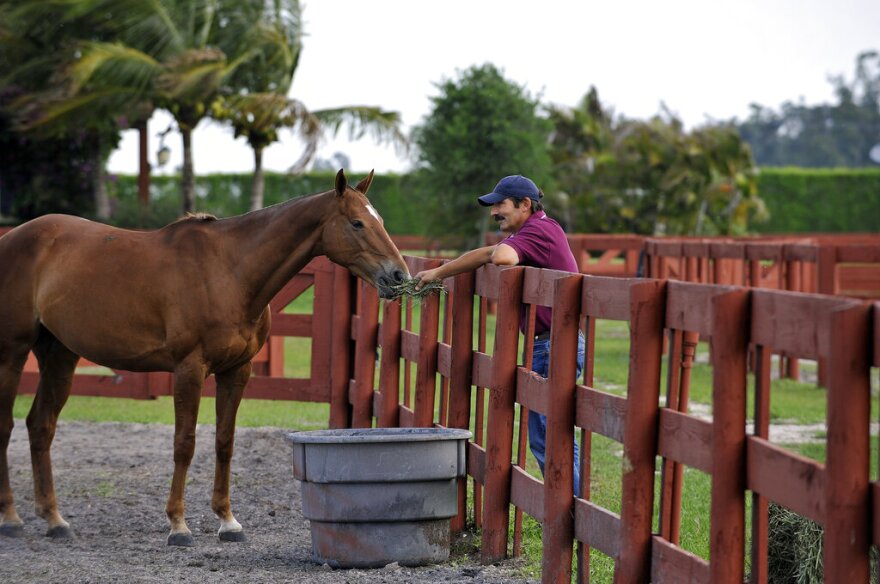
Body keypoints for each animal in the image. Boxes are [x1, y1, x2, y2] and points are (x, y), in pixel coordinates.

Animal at [0, 169, 410, 548]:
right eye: (357, 223)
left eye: (379, 220)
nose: (398, 275)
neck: (228, 271)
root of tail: (12, 238)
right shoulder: (189, 370)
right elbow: (185, 443)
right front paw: (178, 525)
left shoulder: (236, 371)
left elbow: (224, 442)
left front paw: (228, 521)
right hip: (12, 354)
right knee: (7, 426)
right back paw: (11, 518)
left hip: (59, 354)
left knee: (41, 425)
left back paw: (54, 520)